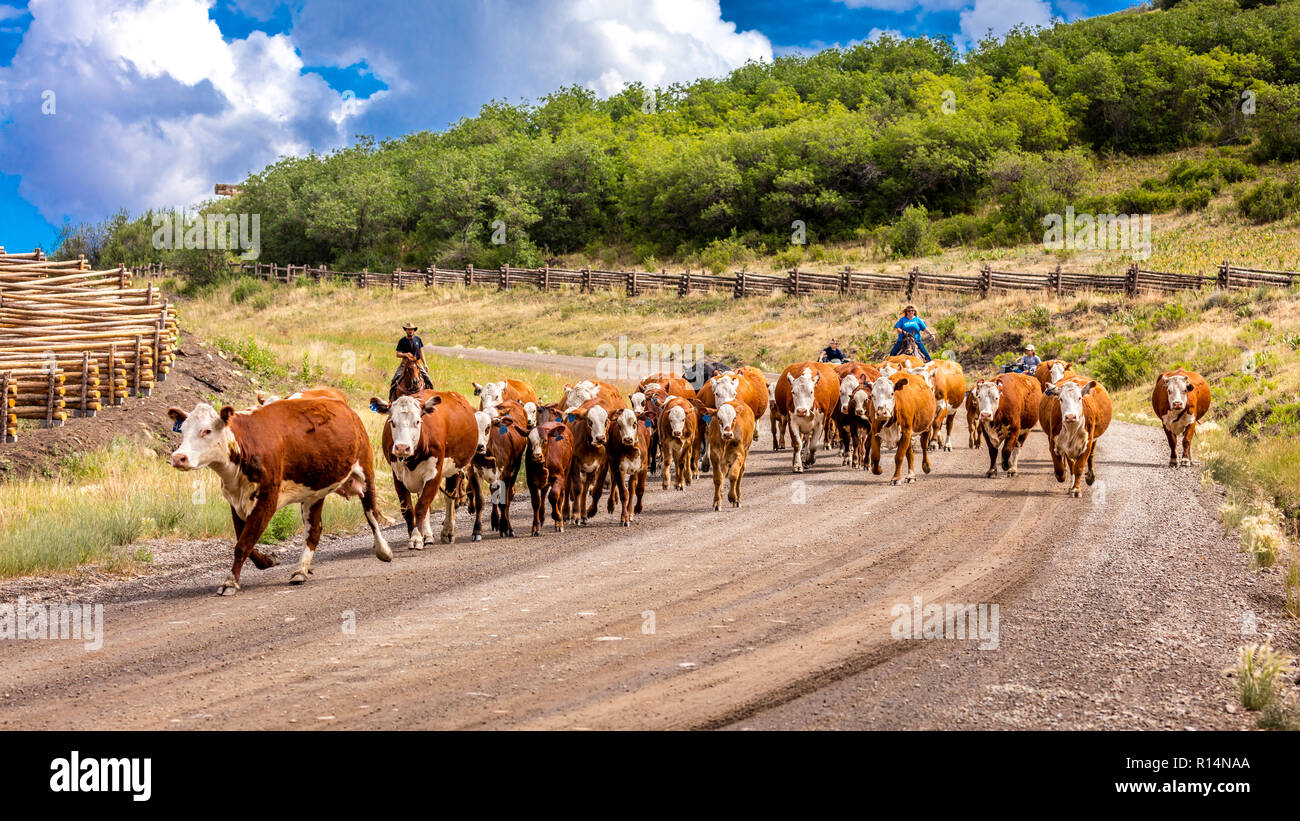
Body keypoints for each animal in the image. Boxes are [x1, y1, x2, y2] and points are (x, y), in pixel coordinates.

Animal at [161, 392, 387, 597]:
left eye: (207, 430)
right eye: (182, 430)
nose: (179, 457)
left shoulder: (267, 500)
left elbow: (243, 544)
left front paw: (230, 582)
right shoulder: (235, 501)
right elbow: (244, 541)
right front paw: (268, 560)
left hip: (365, 470)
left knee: (371, 514)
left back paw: (383, 550)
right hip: (314, 492)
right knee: (314, 530)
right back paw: (301, 570)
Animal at [371, 389, 483, 550]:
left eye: (417, 421)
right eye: (392, 422)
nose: (402, 448)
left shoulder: (434, 475)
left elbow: (422, 506)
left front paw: (416, 537)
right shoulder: (397, 477)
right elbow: (408, 510)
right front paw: (415, 534)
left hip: (455, 468)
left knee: (449, 498)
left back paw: (448, 531)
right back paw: (428, 535)